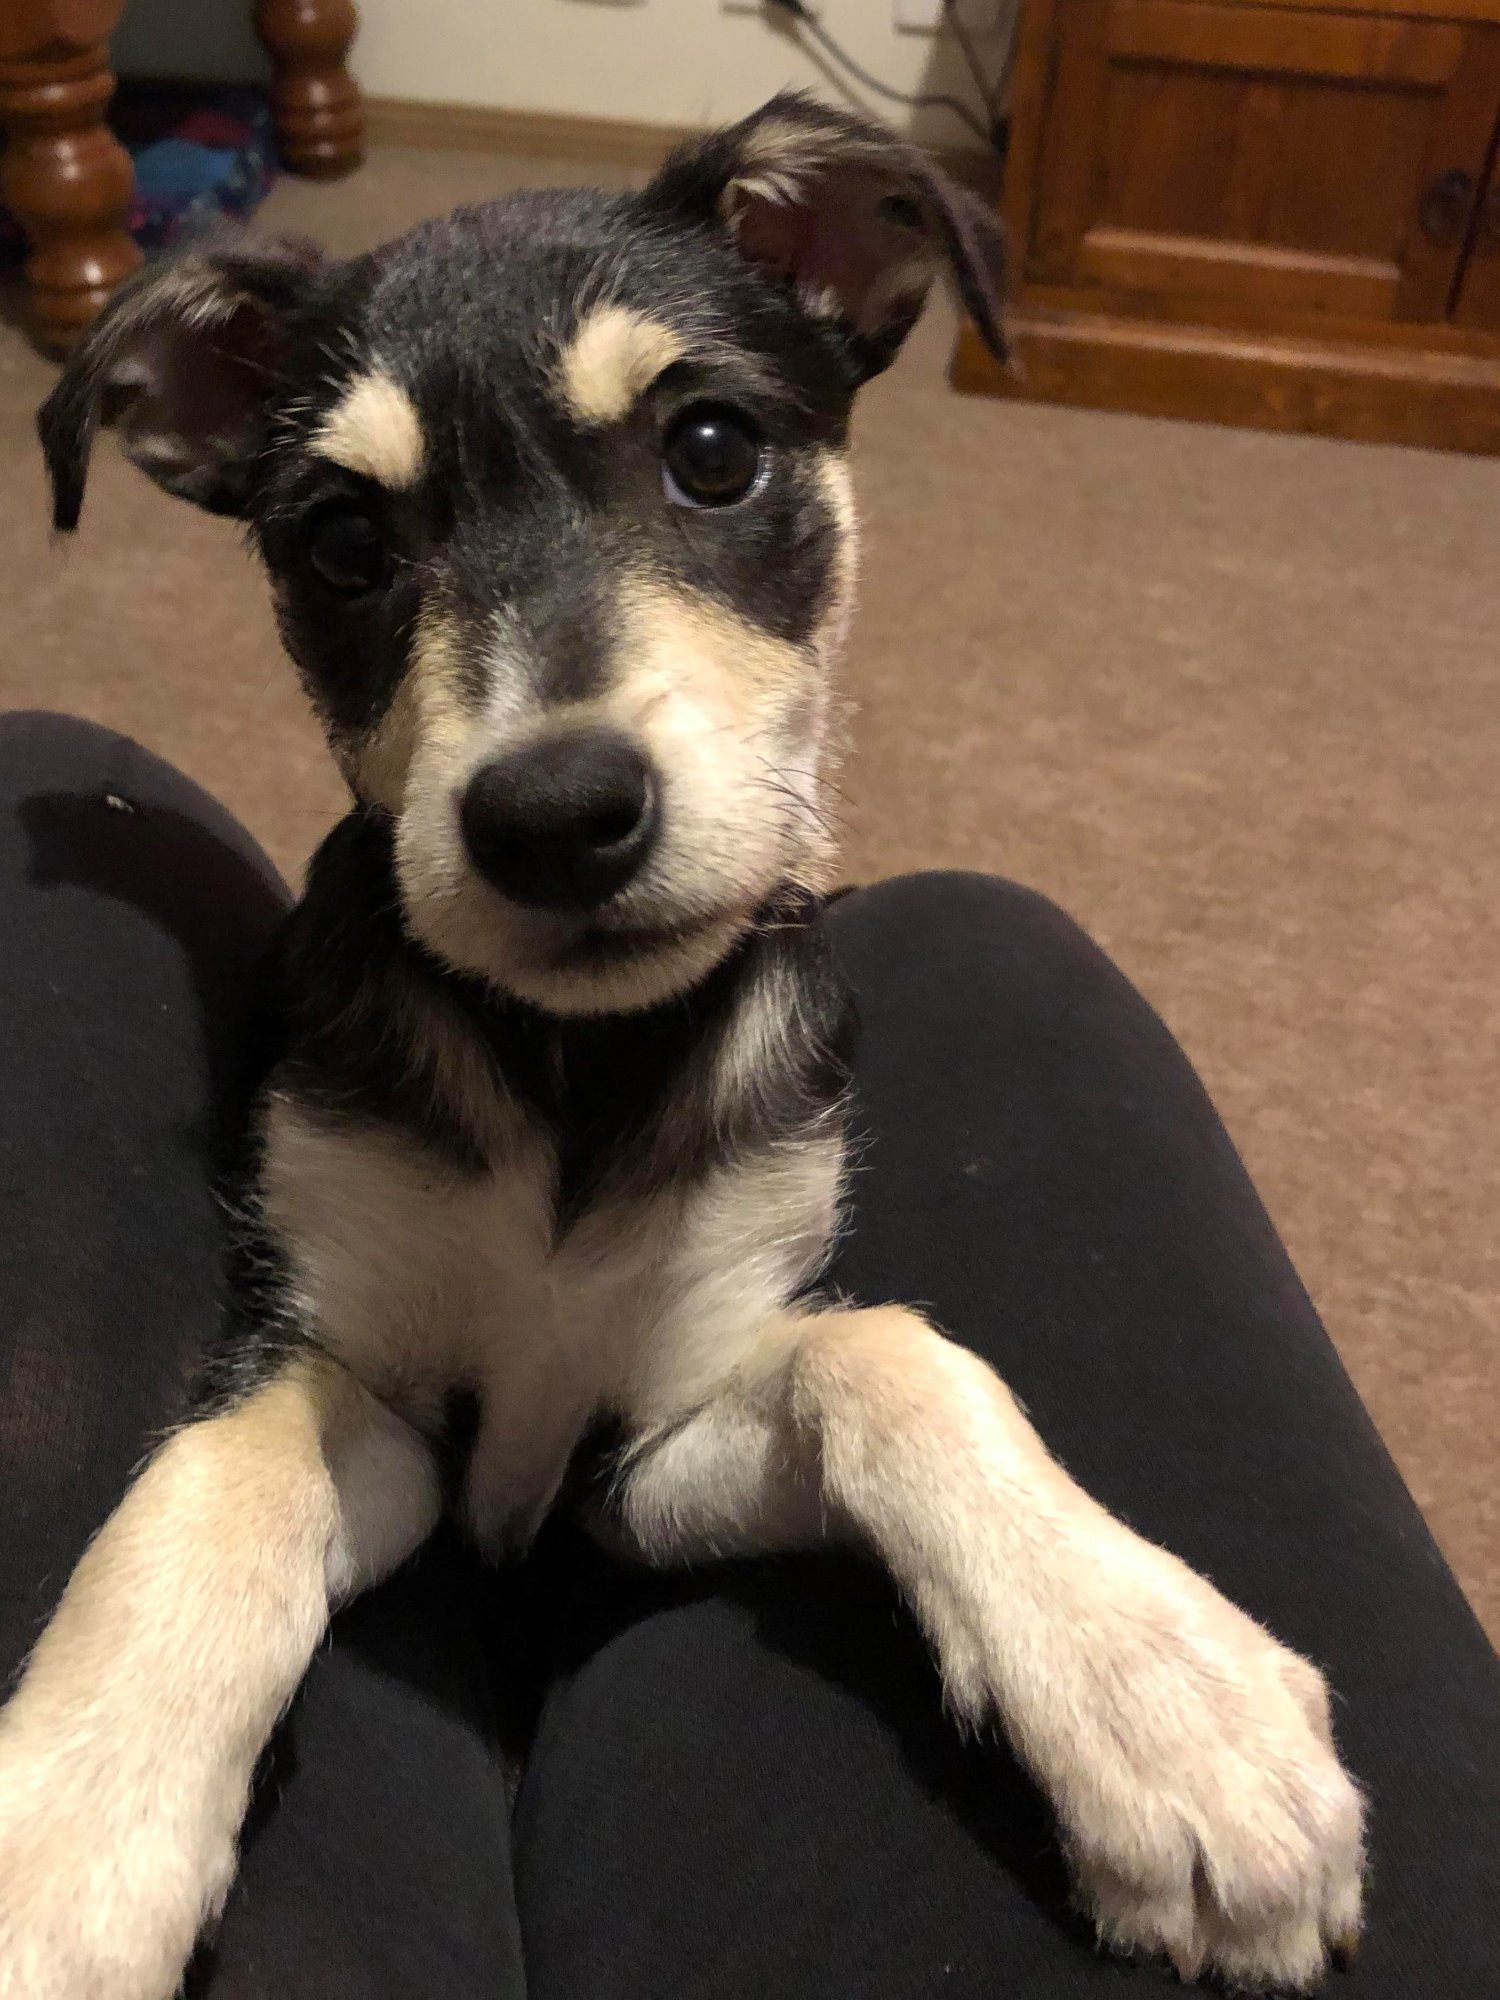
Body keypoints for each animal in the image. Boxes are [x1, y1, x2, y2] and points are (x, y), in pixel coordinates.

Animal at [0, 93, 1364, 1998]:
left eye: (712, 451)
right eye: (339, 543)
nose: (555, 819)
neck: (585, 1070)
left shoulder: (633, 1476)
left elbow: (890, 1353)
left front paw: (1169, 1702)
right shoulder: (359, 1370)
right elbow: (222, 1475)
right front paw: (67, 1826)